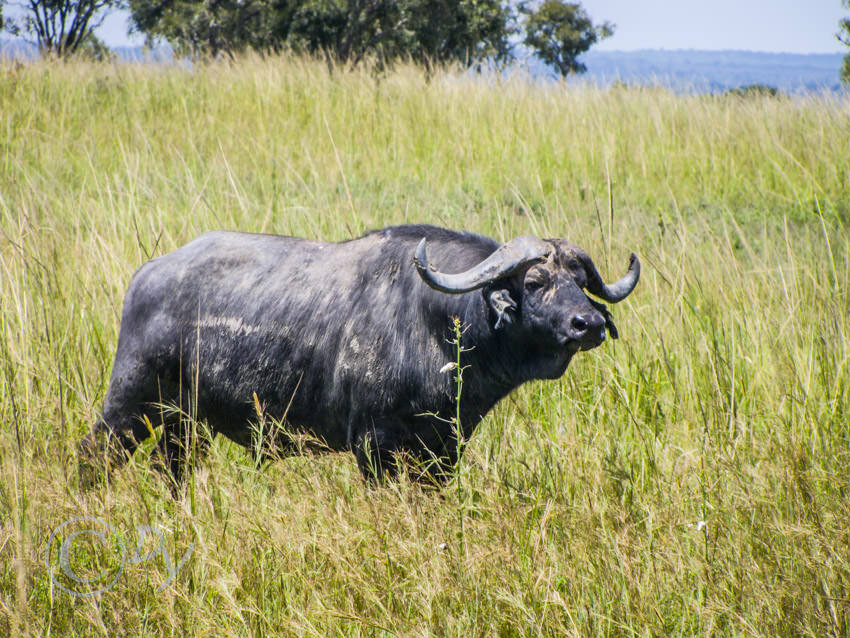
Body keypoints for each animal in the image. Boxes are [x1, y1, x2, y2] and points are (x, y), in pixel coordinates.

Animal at [79, 225, 636, 484]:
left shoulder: (444, 451)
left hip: (185, 425)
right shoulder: (374, 446)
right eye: (535, 281)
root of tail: (147, 275)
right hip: (128, 406)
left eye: (581, 280)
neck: (438, 326)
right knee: (92, 456)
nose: (588, 324)